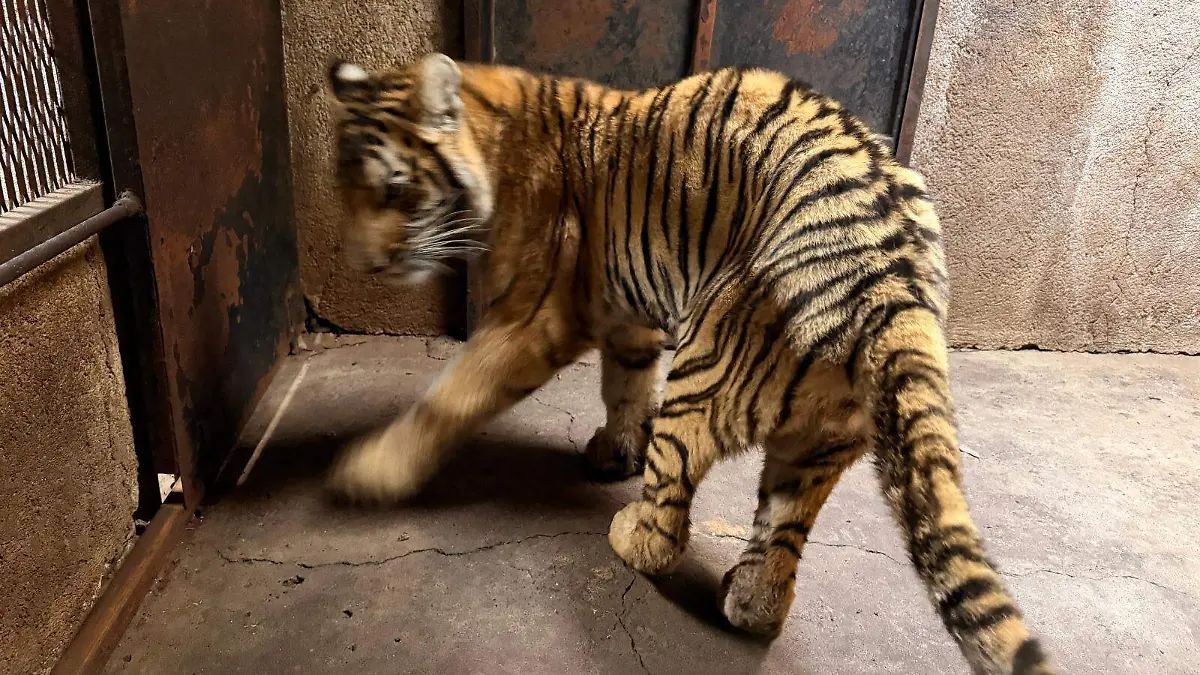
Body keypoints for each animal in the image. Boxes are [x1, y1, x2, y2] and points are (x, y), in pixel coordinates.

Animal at [322, 53, 1056, 675]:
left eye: (395, 190)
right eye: (345, 189)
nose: (367, 264)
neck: (493, 137)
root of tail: (896, 280)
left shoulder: (535, 316)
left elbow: (452, 393)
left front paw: (371, 471)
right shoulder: (628, 313)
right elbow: (624, 384)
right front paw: (615, 449)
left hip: (705, 369)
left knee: (671, 508)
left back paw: (629, 536)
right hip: (823, 438)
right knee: (781, 533)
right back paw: (749, 601)